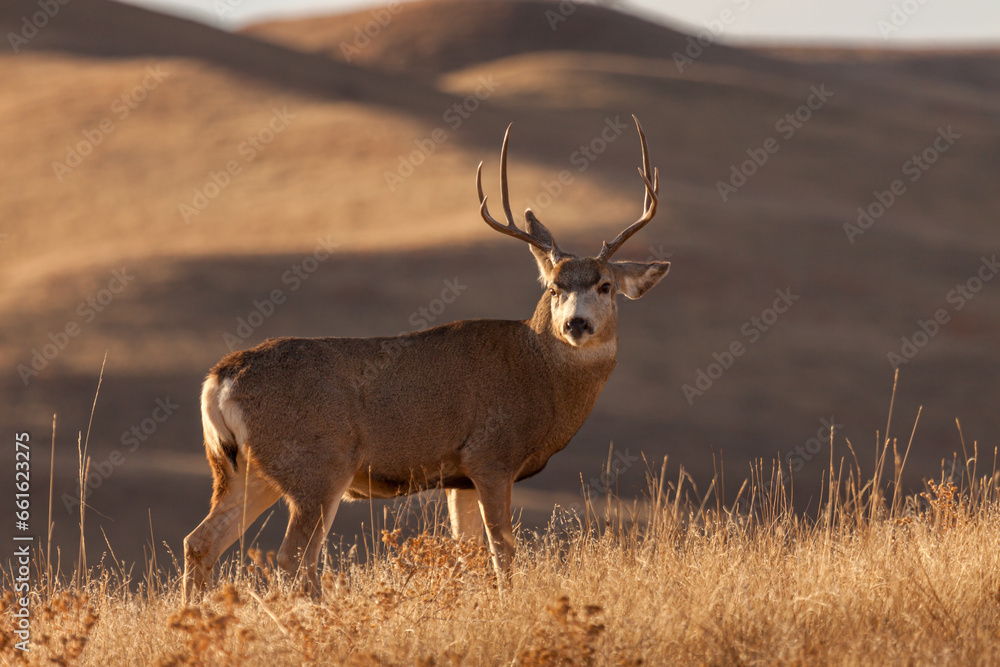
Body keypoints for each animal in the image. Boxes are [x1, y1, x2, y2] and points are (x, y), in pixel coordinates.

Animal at [182, 116, 669, 603]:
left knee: (200, 542)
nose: (576, 324)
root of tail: (219, 378)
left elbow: (470, 554)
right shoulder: (491, 455)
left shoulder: (460, 478)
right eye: (553, 288)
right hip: (317, 465)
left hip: (244, 470)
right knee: (292, 557)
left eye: (605, 285)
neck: (540, 374)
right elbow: (502, 553)